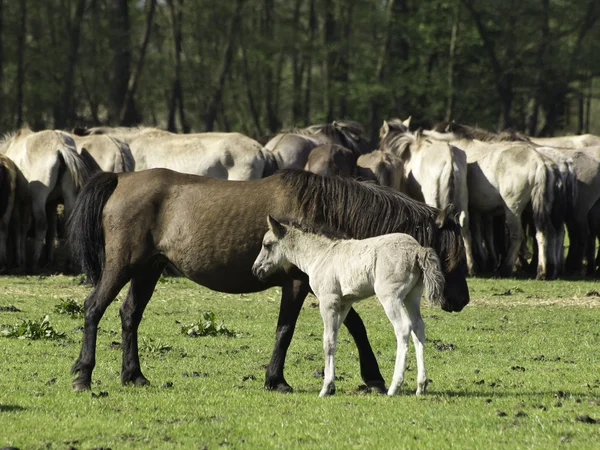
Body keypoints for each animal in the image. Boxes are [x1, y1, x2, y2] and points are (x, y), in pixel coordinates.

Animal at [0, 128, 95, 268]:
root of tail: (60, 145)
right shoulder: (51, 203)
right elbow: (49, 230)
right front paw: (48, 259)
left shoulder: (20, 202)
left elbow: (19, 226)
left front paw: (19, 259)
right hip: (67, 196)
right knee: (68, 223)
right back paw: (69, 263)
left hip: (38, 198)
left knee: (41, 223)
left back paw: (34, 262)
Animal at [250, 216, 446, 396]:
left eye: (267, 245)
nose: (256, 269)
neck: (321, 255)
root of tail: (417, 249)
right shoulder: (344, 303)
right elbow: (335, 338)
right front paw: (331, 385)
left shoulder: (328, 300)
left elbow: (328, 341)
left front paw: (326, 388)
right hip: (412, 297)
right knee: (418, 328)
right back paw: (421, 386)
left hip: (390, 296)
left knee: (404, 328)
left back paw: (394, 387)